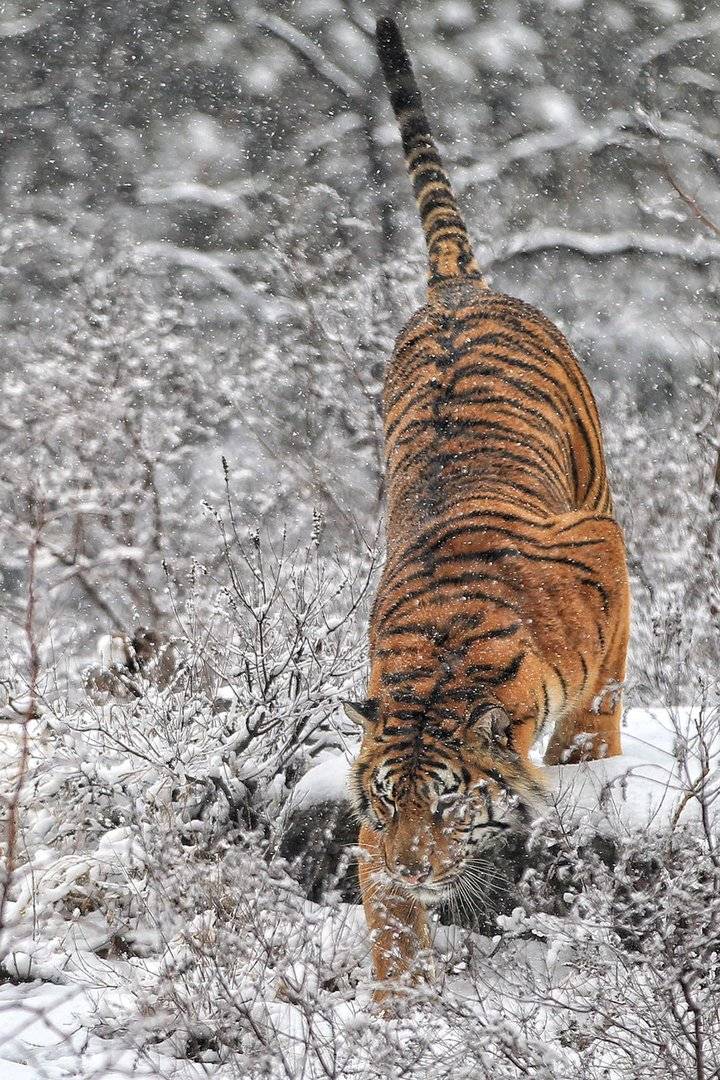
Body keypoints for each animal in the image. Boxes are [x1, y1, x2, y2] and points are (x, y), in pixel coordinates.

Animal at [343, 14, 630, 1002]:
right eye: (384, 801)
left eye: (449, 802)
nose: (410, 866)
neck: (443, 665)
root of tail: (458, 287)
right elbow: (393, 937)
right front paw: (399, 1015)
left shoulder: (603, 559)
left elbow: (591, 728)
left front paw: (587, 775)